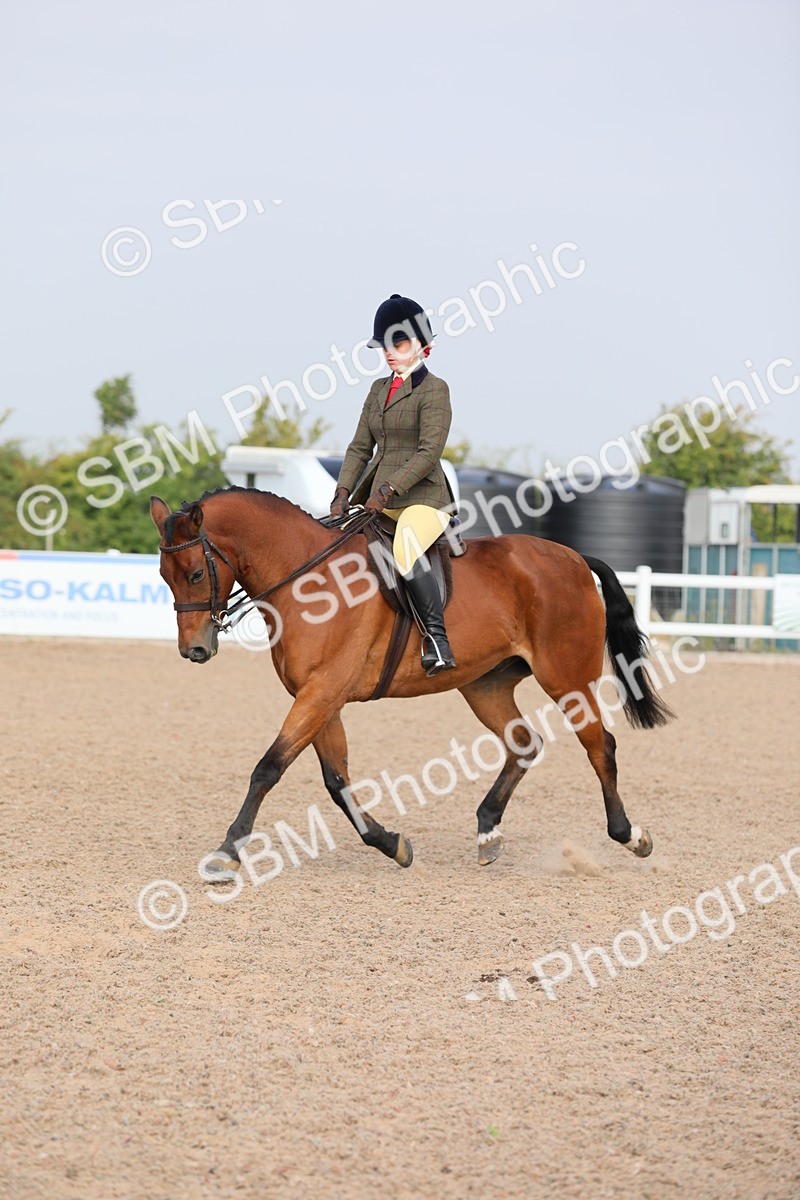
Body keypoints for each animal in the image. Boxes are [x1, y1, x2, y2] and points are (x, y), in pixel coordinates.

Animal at [150, 487, 673, 873]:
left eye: (195, 573)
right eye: (163, 574)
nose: (194, 650)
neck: (308, 580)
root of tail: (574, 558)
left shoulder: (320, 694)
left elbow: (268, 768)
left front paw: (228, 850)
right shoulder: (321, 698)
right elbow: (336, 781)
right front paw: (391, 843)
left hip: (567, 677)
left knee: (600, 745)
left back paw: (630, 835)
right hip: (485, 685)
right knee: (524, 743)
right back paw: (488, 830)